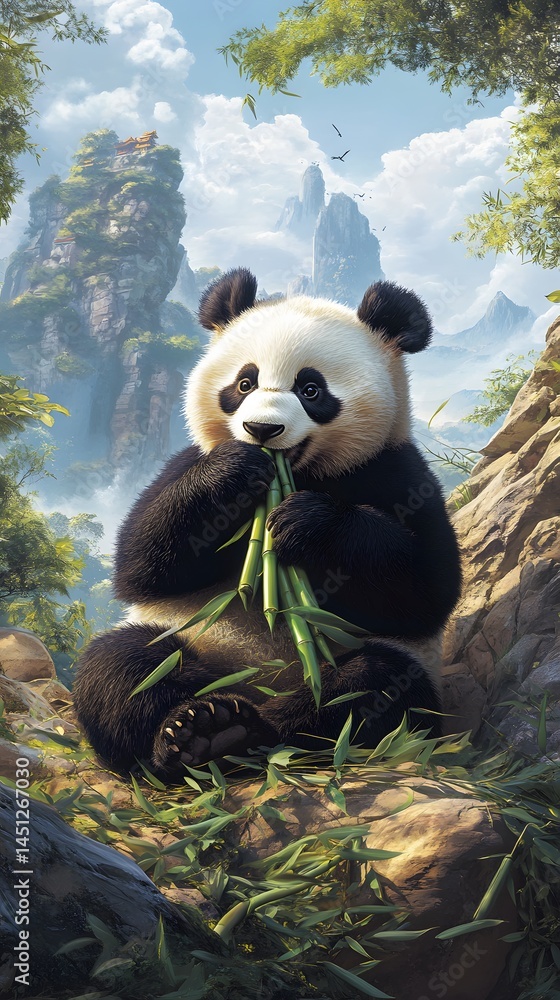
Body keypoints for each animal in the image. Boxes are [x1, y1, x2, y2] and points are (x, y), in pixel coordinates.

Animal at [73, 268, 462, 783]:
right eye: (244, 383)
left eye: (311, 389)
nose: (261, 429)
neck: (298, 471)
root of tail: (253, 686)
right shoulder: (186, 462)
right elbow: (141, 562)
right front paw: (235, 471)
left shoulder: (396, 470)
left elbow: (426, 587)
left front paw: (306, 522)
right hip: (187, 637)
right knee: (126, 666)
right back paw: (196, 733)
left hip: (367, 667)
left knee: (369, 689)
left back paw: (254, 734)